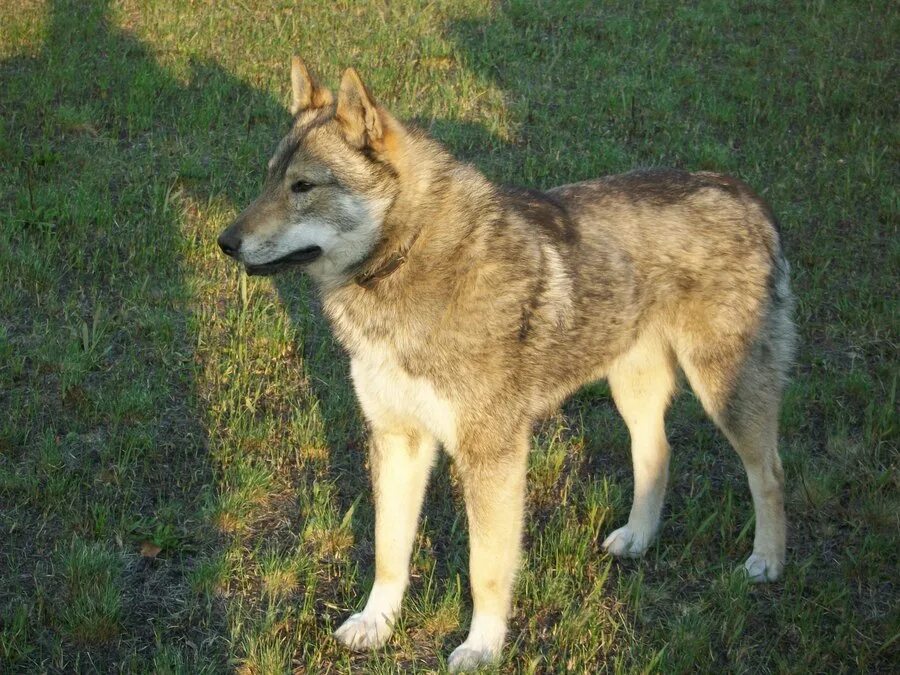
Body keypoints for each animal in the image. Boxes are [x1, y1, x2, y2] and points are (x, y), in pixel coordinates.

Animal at [216, 56, 796, 672]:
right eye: (269, 179)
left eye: (303, 186)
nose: (225, 242)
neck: (408, 258)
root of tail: (745, 194)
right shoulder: (398, 440)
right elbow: (388, 552)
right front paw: (377, 622)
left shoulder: (491, 457)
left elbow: (485, 571)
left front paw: (482, 646)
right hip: (631, 390)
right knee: (657, 453)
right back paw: (639, 538)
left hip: (725, 391)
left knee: (770, 471)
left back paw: (767, 560)